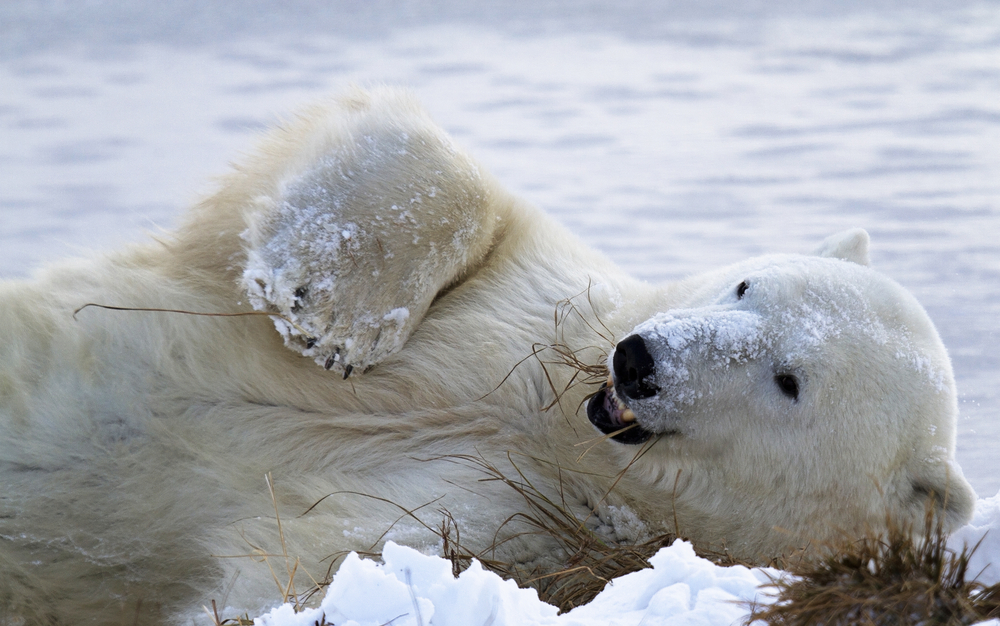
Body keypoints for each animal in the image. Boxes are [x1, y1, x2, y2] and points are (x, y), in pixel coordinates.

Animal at [0, 86, 975, 624]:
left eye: (788, 383)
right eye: (747, 287)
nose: (639, 361)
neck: (555, 422)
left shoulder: (535, 531)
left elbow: (311, 560)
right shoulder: (541, 294)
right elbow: (424, 165)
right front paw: (328, 314)